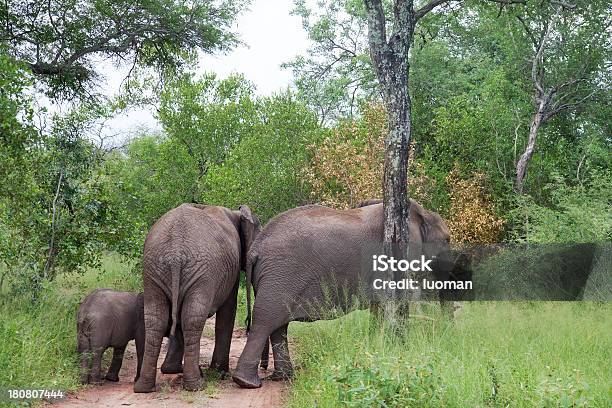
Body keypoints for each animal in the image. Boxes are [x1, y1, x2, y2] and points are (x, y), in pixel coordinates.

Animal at [133, 203, 260, 392]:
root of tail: (175, 252)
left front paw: (172, 370)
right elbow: (228, 311)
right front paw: (220, 373)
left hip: (153, 269)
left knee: (156, 319)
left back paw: (144, 387)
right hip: (201, 273)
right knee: (192, 319)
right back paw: (196, 384)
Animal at [233, 199, 460, 388]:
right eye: (447, 240)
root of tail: (255, 249)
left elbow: (377, 308)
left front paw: (374, 345)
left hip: (276, 279)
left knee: (278, 326)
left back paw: (284, 377)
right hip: (281, 276)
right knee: (265, 320)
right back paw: (248, 383)